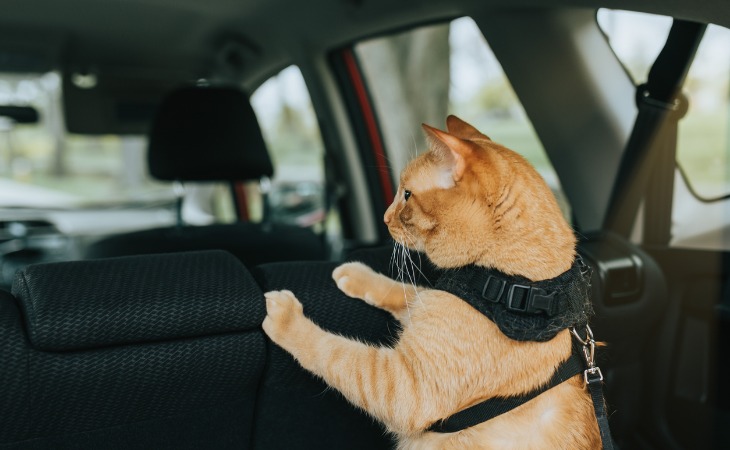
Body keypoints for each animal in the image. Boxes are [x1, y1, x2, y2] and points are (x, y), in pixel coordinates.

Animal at [260, 115, 596, 446]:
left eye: (407, 195)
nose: (384, 218)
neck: (511, 285)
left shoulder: (403, 387)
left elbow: (334, 352)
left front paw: (286, 318)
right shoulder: (428, 305)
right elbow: (402, 290)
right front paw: (354, 273)